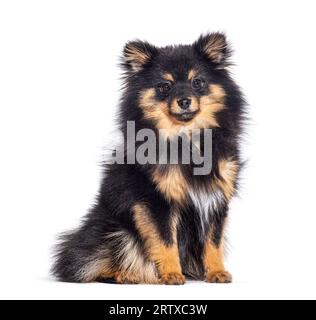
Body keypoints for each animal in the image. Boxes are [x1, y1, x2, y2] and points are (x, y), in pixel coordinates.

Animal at [51, 32, 246, 284]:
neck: (185, 137)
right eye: (165, 86)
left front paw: (216, 272)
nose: (184, 101)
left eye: (197, 82)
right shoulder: (155, 199)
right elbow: (165, 240)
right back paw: (125, 275)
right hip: (116, 230)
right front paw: (172, 274)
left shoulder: (215, 198)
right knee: (89, 263)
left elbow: (213, 241)